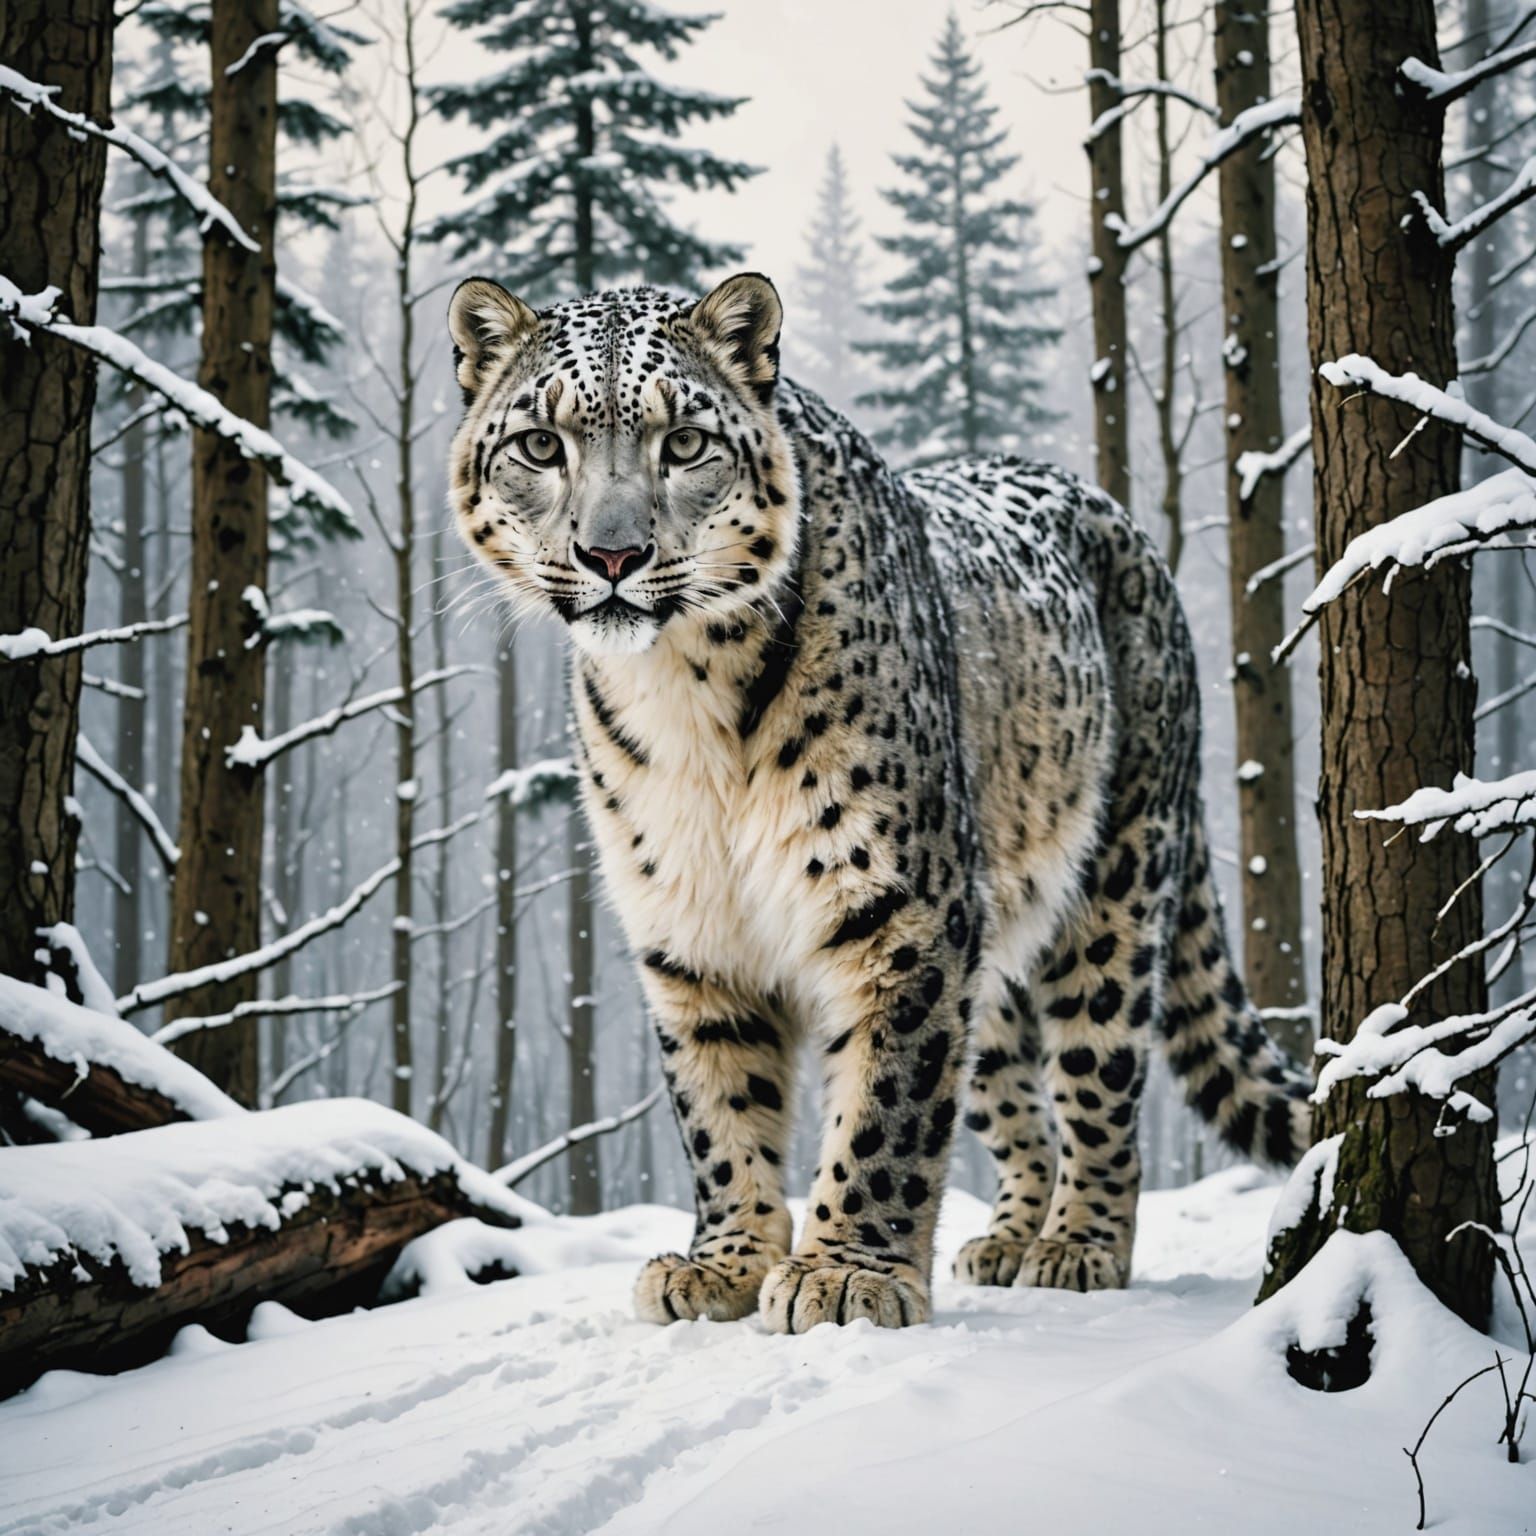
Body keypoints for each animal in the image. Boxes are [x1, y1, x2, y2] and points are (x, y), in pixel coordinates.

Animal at [445, 271, 1312, 1335]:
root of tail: (1124, 521)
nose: (613, 554)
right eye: (540, 444)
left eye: (683, 442)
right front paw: (724, 1264)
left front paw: (844, 1275)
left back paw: (1077, 1246)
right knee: (1009, 1087)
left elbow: (886, 1103)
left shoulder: (899, 908)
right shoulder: (687, 927)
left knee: (1100, 1076)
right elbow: (718, 1107)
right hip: (994, 932)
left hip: (1116, 881)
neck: (683, 698)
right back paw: (1007, 1236)